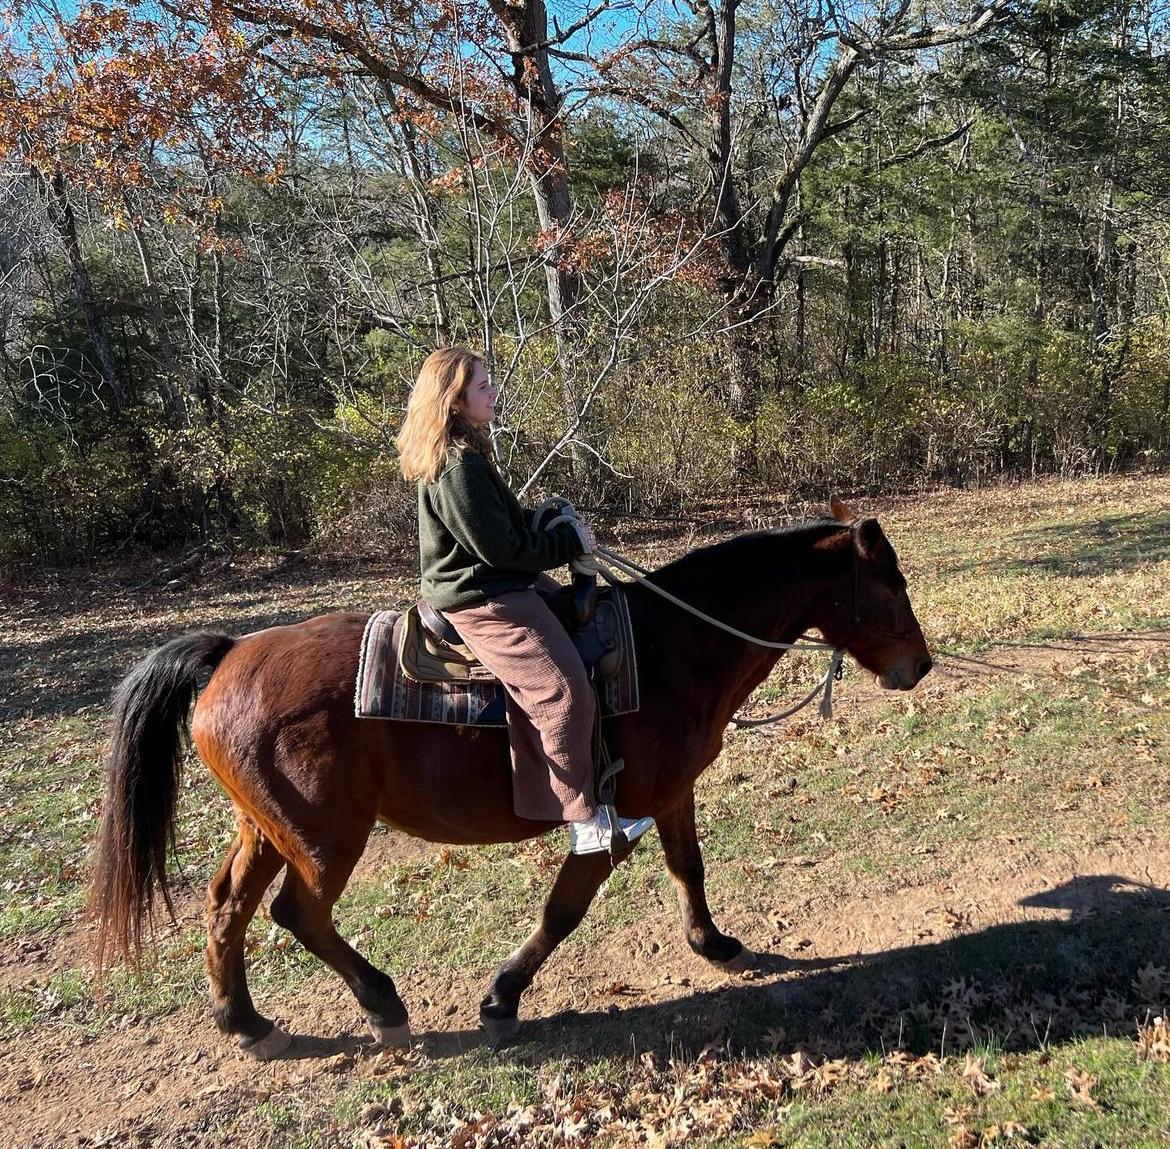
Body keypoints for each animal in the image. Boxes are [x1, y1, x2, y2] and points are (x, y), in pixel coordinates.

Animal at [89, 502, 932, 1058]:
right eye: (891, 583)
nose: (919, 665)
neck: (674, 646)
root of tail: (229, 653)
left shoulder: (668, 795)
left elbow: (687, 864)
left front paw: (714, 942)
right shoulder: (612, 816)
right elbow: (565, 908)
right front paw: (501, 996)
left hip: (267, 828)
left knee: (225, 905)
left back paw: (247, 1022)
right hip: (325, 837)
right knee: (298, 912)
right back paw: (381, 1002)